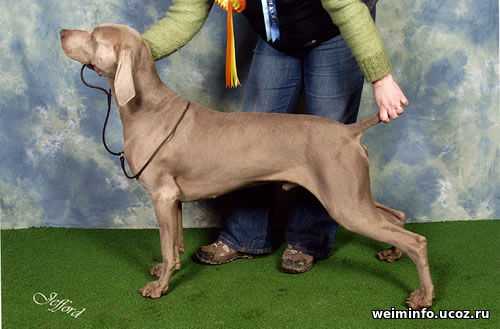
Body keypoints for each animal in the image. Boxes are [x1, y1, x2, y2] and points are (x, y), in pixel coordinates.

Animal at [59, 24, 434, 308]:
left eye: (94, 36)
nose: (62, 32)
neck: (149, 109)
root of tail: (348, 131)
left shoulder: (161, 195)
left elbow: (166, 244)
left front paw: (160, 286)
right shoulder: (173, 199)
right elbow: (175, 242)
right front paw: (169, 268)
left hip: (345, 202)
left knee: (416, 240)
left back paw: (423, 295)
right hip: (353, 193)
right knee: (397, 216)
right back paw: (392, 254)